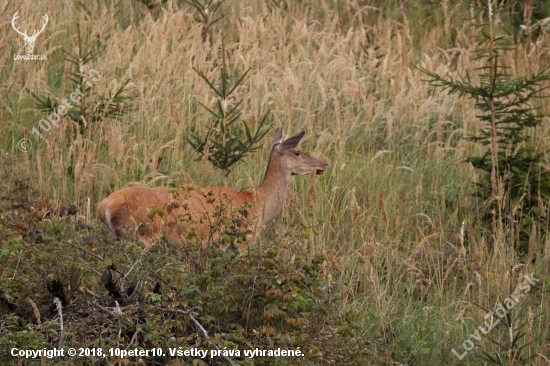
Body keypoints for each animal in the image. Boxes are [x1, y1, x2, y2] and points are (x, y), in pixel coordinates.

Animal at [96, 128, 328, 249]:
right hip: (142, 236)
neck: (259, 202)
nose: (323, 164)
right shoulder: (242, 239)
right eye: (297, 152)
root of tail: (104, 206)